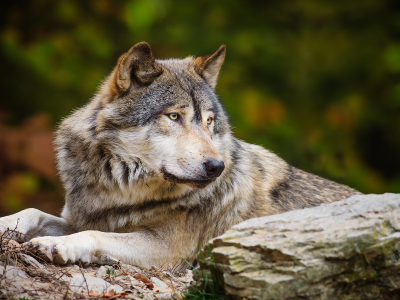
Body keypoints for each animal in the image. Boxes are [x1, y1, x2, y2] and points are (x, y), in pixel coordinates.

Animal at [0, 41, 360, 272]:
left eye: (209, 121)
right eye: (174, 117)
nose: (216, 167)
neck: (119, 189)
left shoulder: (165, 250)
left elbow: (93, 235)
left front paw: (56, 246)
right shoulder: (82, 216)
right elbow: (34, 212)